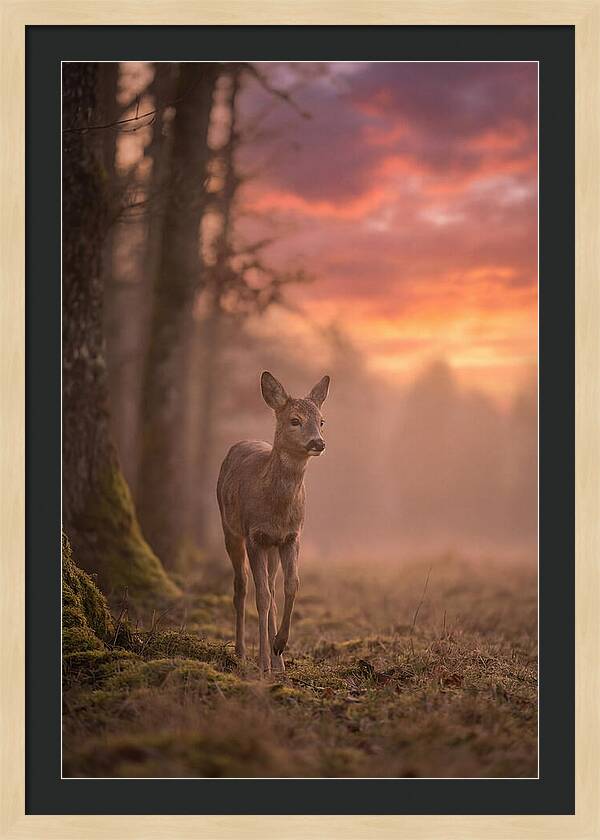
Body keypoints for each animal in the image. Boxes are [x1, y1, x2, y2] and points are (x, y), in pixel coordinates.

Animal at [217, 371, 330, 676]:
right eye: (295, 420)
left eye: (322, 421)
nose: (318, 442)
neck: (276, 510)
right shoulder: (255, 535)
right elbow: (262, 597)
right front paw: (263, 662)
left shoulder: (291, 536)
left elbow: (291, 585)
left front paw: (279, 645)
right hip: (230, 529)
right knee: (242, 586)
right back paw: (243, 652)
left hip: (272, 548)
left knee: (270, 584)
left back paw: (278, 660)